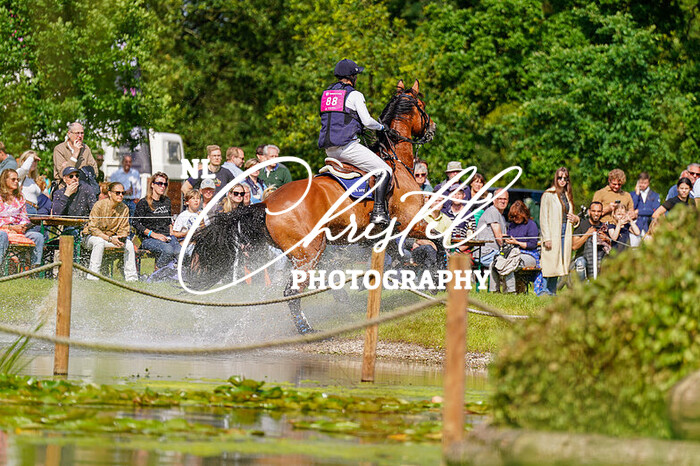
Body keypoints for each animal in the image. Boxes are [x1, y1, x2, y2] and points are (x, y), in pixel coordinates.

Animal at [189, 79, 436, 333]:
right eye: (423, 106)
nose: (432, 128)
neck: (395, 160)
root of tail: (267, 203)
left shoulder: (375, 236)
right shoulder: (411, 221)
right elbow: (438, 240)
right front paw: (437, 277)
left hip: (309, 250)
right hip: (309, 251)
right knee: (292, 291)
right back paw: (306, 328)